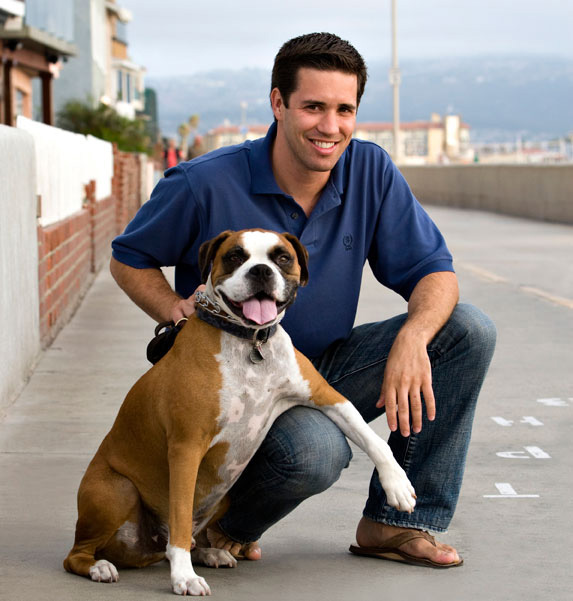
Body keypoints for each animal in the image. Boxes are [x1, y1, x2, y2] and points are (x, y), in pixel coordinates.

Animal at [63, 229, 416, 596]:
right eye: (234, 256)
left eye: (282, 258)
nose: (260, 270)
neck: (251, 341)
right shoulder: (186, 447)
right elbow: (179, 515)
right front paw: (183, 577)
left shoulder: (326, 395)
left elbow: (372, 438)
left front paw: (397, 484)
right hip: (117, 491)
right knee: (79, 553)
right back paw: (101, 567)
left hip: (223, 497)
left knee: (189, 537)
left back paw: (210, 552)